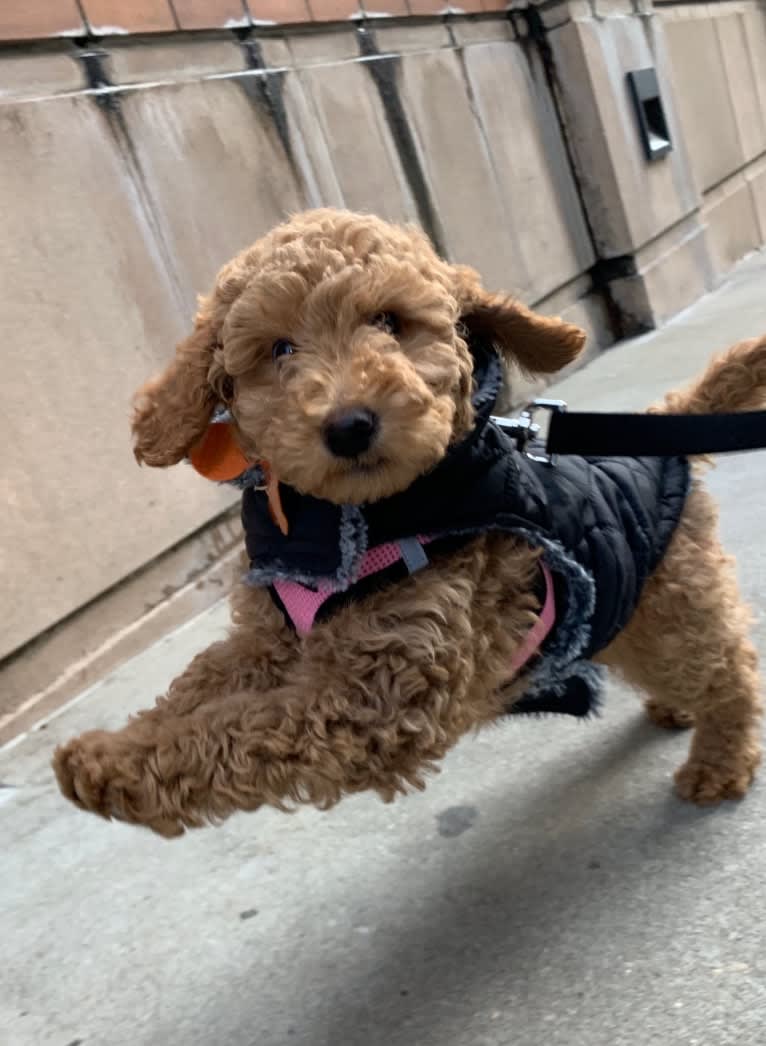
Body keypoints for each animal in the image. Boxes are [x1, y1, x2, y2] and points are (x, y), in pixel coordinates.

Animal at [52, 208, 761, 836]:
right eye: (279, 348)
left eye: (389, 322)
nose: (349, 424)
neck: (346, 524)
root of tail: (664, 425)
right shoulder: (270, 638)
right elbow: (201, 682)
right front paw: (112, 748)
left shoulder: (371, 700)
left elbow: (236, 728)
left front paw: (112, 767)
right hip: (629, 602)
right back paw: (676, 710)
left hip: (673, 607)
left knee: (728, 667)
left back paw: (719, 759)